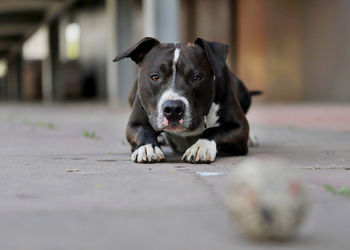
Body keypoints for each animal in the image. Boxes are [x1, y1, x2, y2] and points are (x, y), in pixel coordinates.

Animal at [113, 36, 260, 163]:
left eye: (196, 77)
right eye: (155, 77)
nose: (173, 109)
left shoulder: (239, 128)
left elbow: (213, 130)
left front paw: (200, 146)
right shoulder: (134, 124)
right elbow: (143, 130)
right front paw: (147, 147)